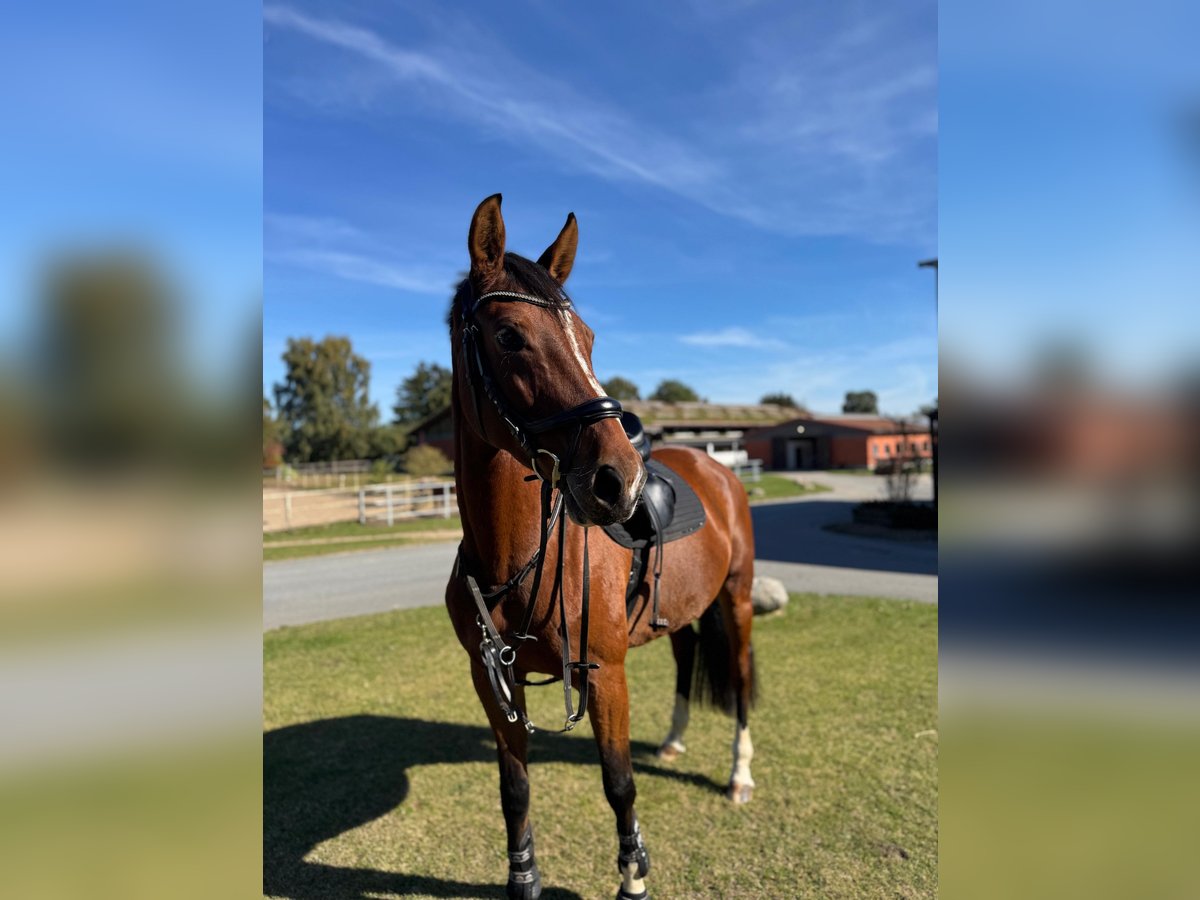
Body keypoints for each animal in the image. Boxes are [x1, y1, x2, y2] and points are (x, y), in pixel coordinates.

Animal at [443, 194, 758, 900]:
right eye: (509, 336)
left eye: (587, 338)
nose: (621, 482)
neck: (516, 559)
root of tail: (718, 467)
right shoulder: (491, 677)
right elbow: (514, 791)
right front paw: (523, 881)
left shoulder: (604, 674)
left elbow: (619, 785)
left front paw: (633, 879)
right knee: (686, 658)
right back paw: (673, 742)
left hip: (738, 599)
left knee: (742, 679)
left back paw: (740, 774)